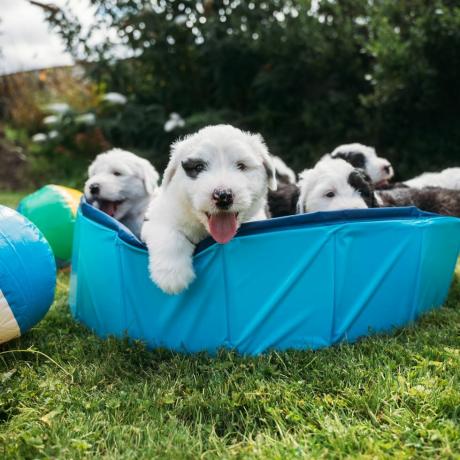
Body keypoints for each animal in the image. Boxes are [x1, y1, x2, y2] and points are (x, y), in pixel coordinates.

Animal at [140, 124, 276, 294]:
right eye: (199, 167)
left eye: (241, 166)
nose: (223, 196)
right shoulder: (158, 215)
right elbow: (168, 234)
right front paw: (172, 275)